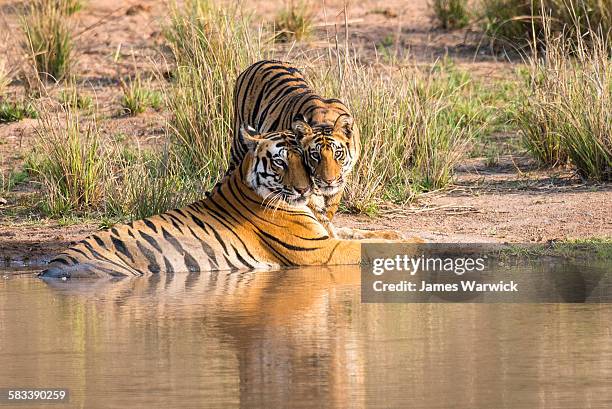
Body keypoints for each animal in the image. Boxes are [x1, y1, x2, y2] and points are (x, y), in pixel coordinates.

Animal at [38, 123, 420, 278]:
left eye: (306, 158)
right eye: (281, 162)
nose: (305, 189)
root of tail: (51, 266)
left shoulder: (327, 233)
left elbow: (373, 235)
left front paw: (407, 235)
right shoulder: (320, 251)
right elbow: (368, 247)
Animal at [230, 59, 402, 241]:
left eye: (338, 154)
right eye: (314, 156)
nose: (328, 181)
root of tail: (264, 61)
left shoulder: (340, 182)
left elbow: (330, 215)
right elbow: (321, 220)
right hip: (239, 147)